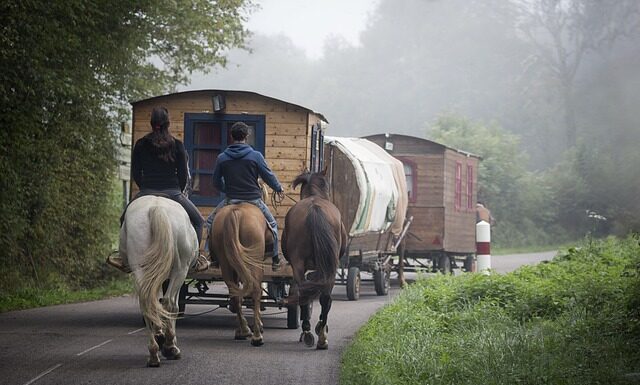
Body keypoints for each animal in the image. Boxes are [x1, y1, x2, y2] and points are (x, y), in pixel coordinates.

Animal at [118, 195, 198, 366]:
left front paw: (159, 334)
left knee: (147, 303)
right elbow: (169, 305)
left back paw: (154, 353)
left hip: (140, 268)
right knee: (170, 304)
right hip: (180, 270)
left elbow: (156, 302)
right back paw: (169, 347)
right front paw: (167, 341)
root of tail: (157, 207)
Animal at [209, 202, 272, 346]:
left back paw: (244, 330)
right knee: (256, 291)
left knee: (234, 294)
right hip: (253, 262)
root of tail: (236, 212)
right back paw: (257, 336)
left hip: (226, 262)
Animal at [282, 168, 348, 348]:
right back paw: (319, 335)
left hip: (300, 265)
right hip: (328, 267)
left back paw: (308, 332)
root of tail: (314, 208)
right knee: (323, 297)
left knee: (307, 293)